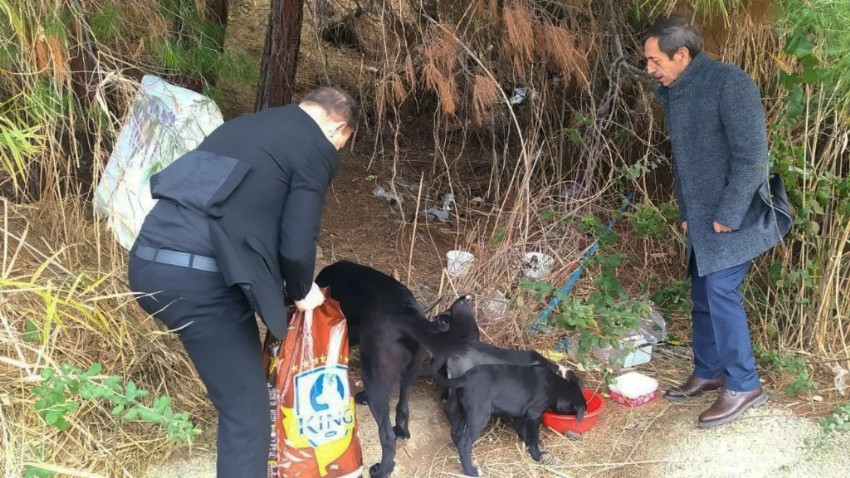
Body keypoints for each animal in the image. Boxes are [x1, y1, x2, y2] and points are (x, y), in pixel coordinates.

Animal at [316, 262, 450, 478]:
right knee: (402, 408)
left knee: (387, 437)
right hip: (408, 374)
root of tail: (409, 317)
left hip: (375, 377)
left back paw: (382, 470)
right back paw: (401, 431)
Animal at [434, 364, 588, 476]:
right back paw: (471, 471)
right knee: (464, 444)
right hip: (479, 416)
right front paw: (537, 455)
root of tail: (464, 377)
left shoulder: (518, 415)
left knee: (456, 433)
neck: (557, 385)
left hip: (461, 412)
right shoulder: (534, 414)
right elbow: (533, 437)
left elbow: (525, 433)